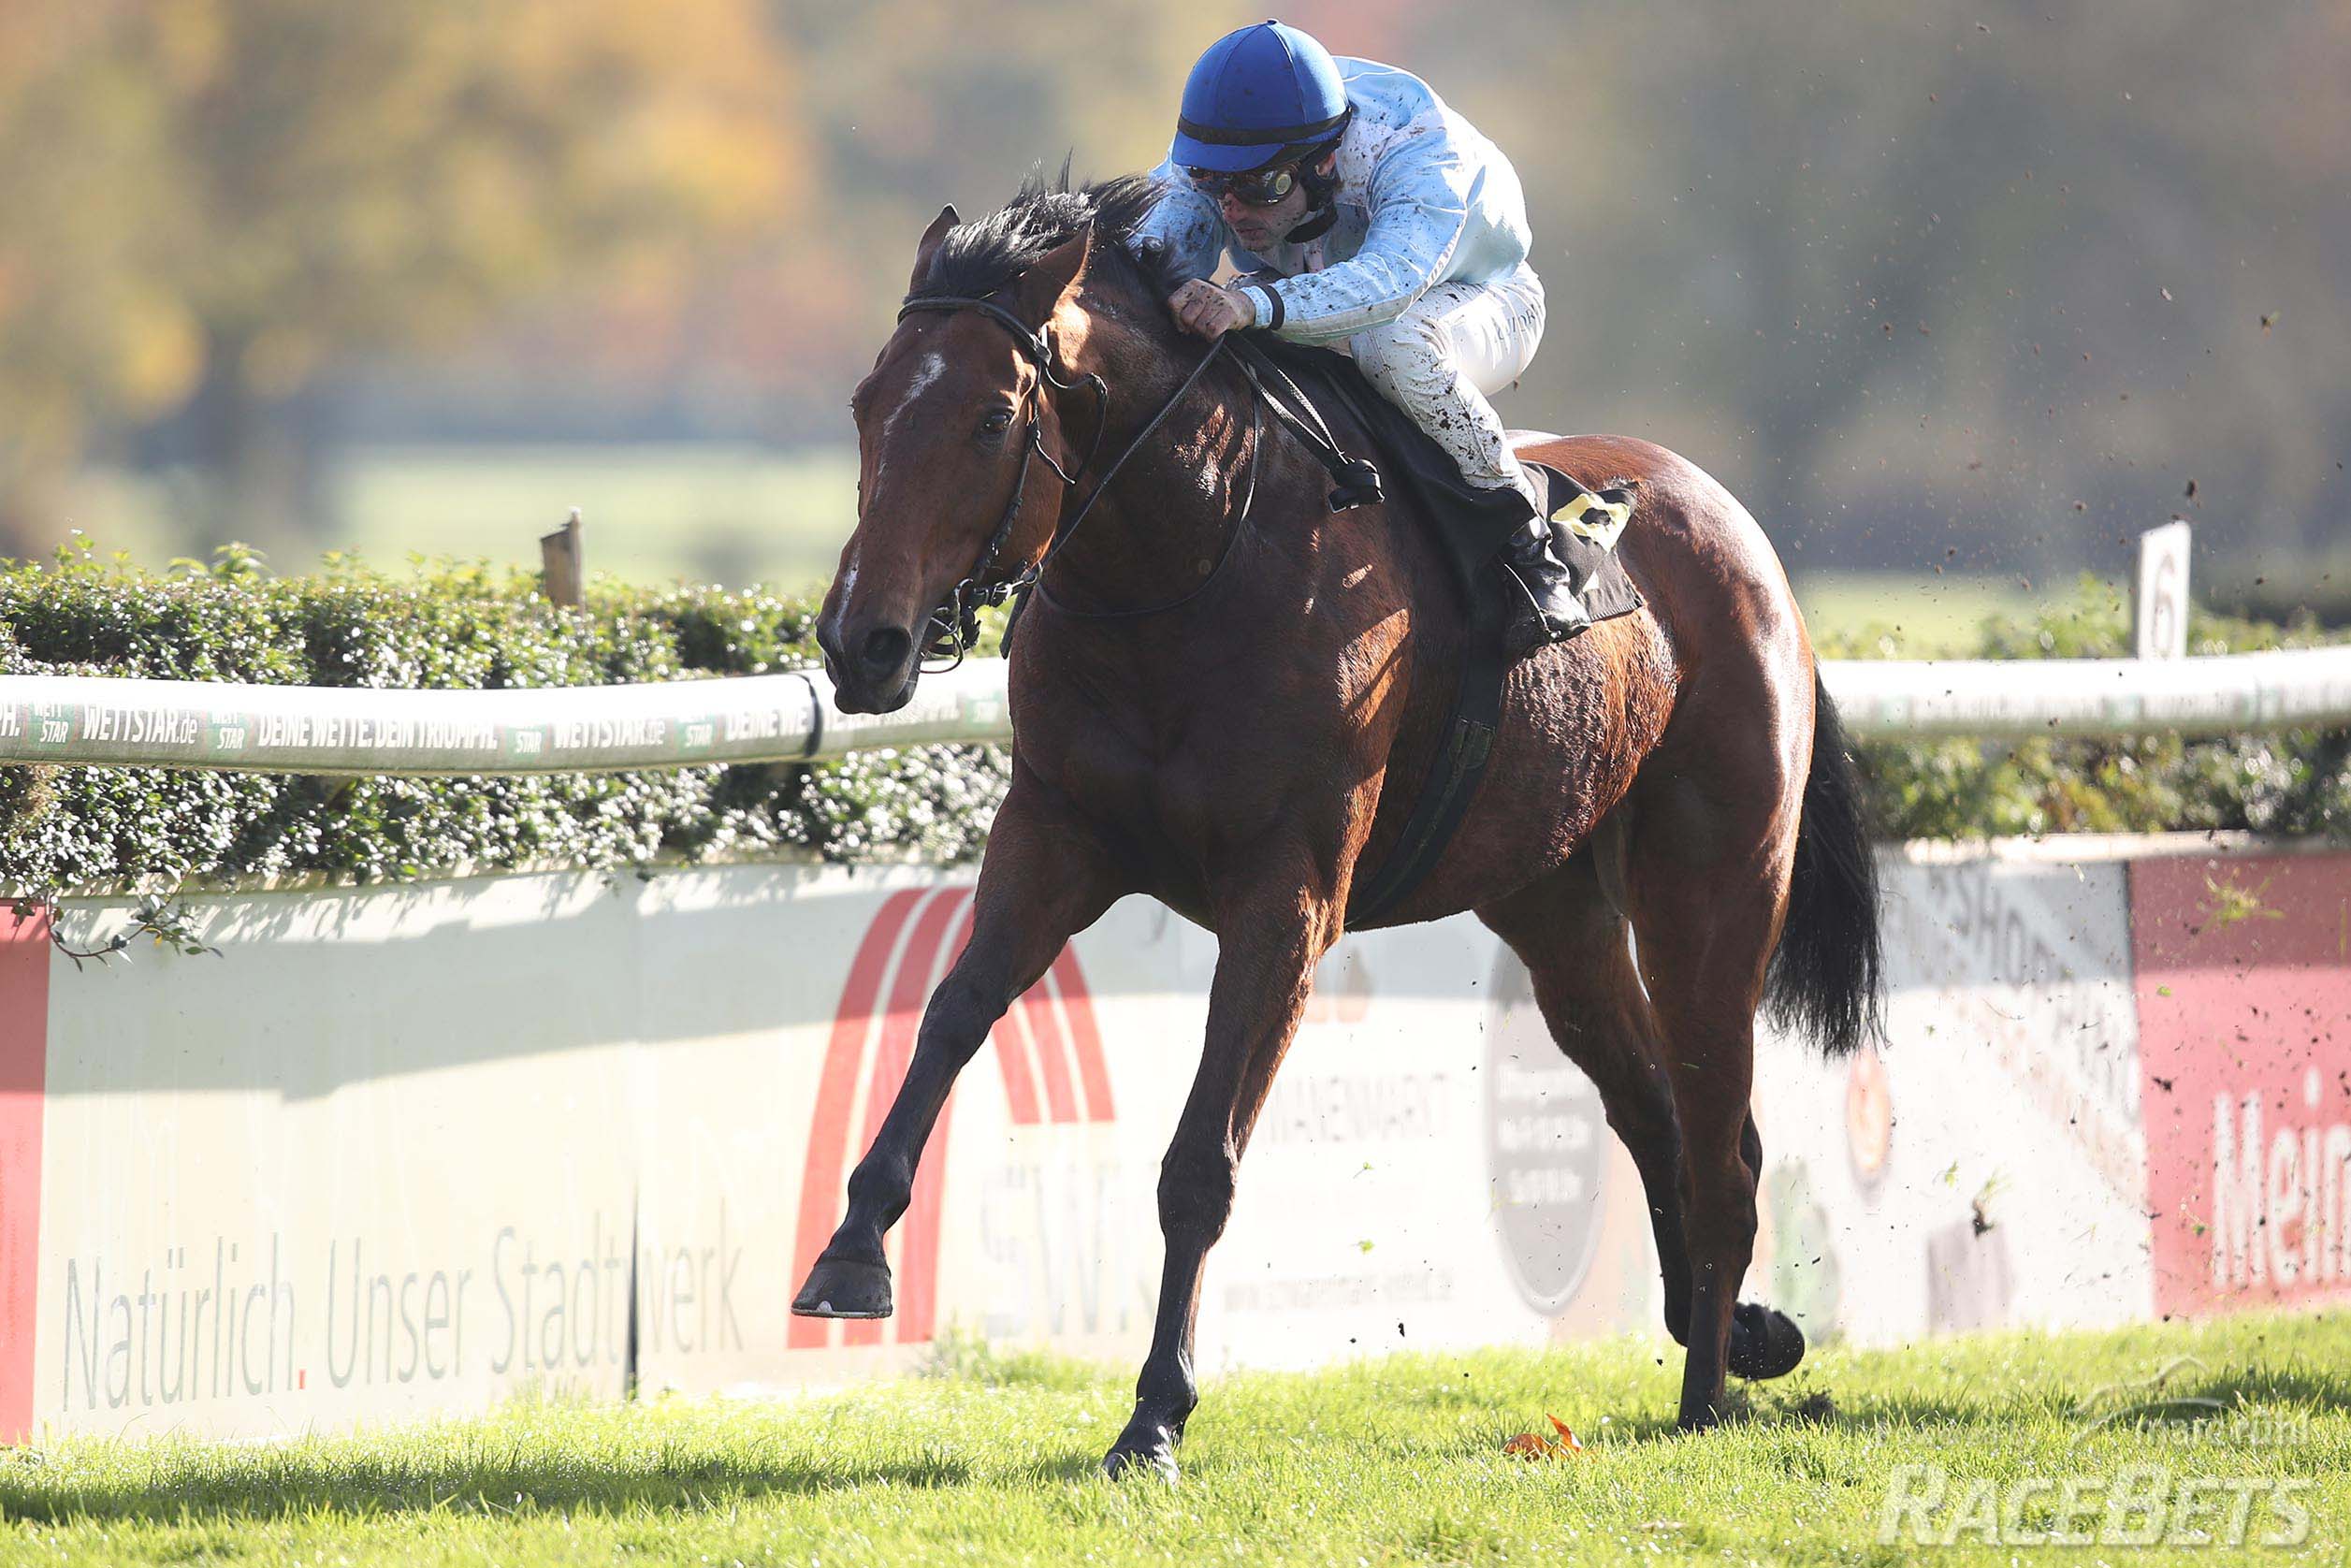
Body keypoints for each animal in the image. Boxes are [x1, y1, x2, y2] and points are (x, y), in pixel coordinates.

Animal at [798, 174, 1884, 1480]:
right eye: (866, 403)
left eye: (990, 414)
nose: (862, 642)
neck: (1189, 561)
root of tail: (1743, 534)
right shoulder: (1052, 833)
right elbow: (950, 1014)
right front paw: (851, 1249)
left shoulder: (1288, 898)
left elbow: (1199, 1161)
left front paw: (1154, 1414)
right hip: (1552, 908)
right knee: (1651, 1108)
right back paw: (1733, 1331)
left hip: (1714, 884)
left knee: (1723, 1137)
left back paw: (1708, 1388)